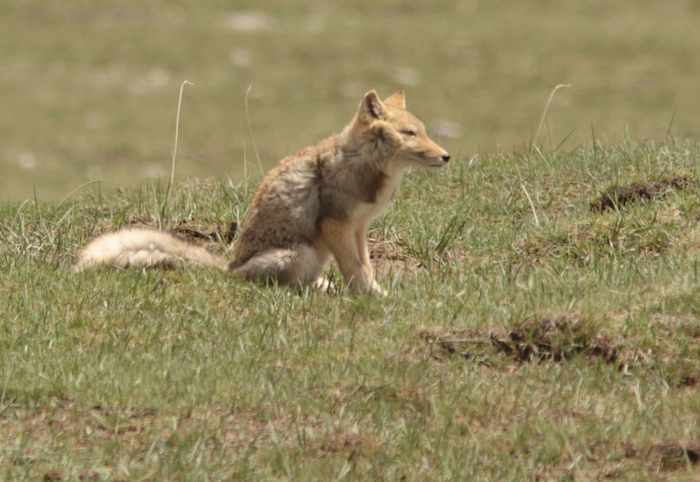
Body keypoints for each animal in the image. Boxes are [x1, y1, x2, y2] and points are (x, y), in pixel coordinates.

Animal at [75, 90, 448, 294]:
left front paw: (373, 292)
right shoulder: (336, 223)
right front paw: (368, 296)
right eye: (411, 133)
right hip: (301, 252)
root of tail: (231, 266)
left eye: (423, 131)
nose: (446, 156)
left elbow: (364, 264)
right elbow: (356, 267)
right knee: (279, 285)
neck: (366, 166)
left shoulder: (357, 227)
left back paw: (322, 287)